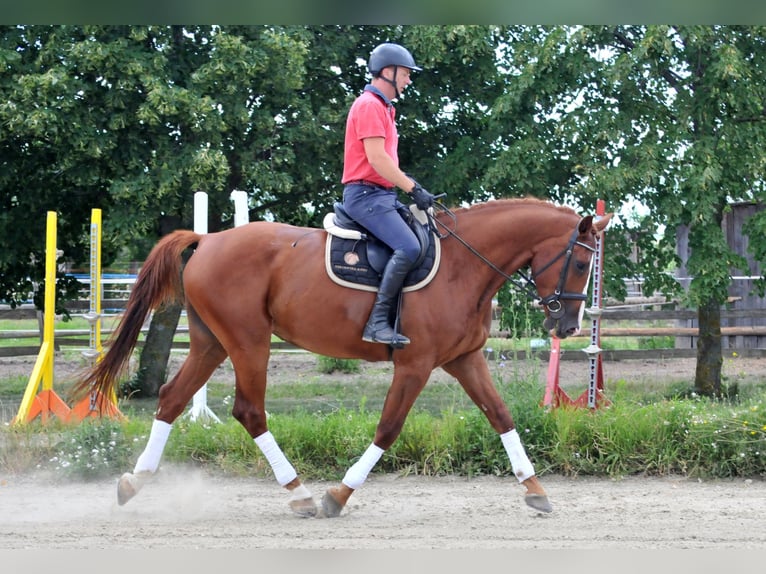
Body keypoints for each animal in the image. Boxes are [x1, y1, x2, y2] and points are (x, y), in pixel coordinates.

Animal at [70, 197, 612, 516]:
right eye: (580, 263)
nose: (568, 326)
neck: (464, 263)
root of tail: (208, 240)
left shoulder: (465, 359)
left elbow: (500, 416)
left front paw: (535, 489)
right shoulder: (415, 365)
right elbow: (389, 428)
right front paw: (339, 494)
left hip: (211, 343)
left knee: (171, 398)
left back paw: (134, 482)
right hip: (248, 342)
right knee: (249, 410)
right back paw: (301, 493)